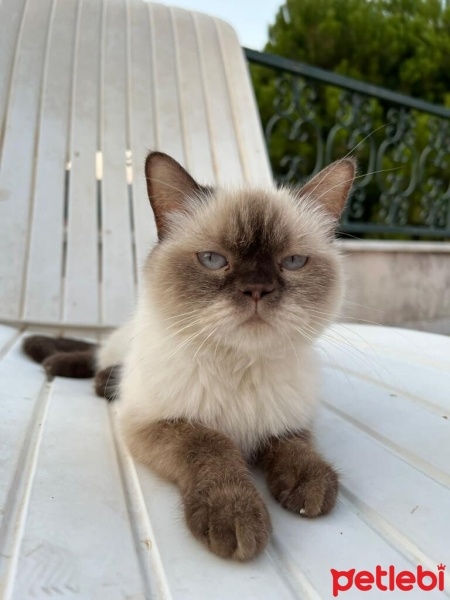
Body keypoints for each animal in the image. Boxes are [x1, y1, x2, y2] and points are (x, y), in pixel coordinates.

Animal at [23, 151, 356, 564]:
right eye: (213, 260)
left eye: (293, 262)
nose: (257, 289)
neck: (240, 365)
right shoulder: (153, 424)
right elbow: (211, 444)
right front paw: (234, 513)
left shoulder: (289, 420)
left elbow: (294, 445)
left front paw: (309, 483)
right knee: (97, 356)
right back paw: (62, 364)